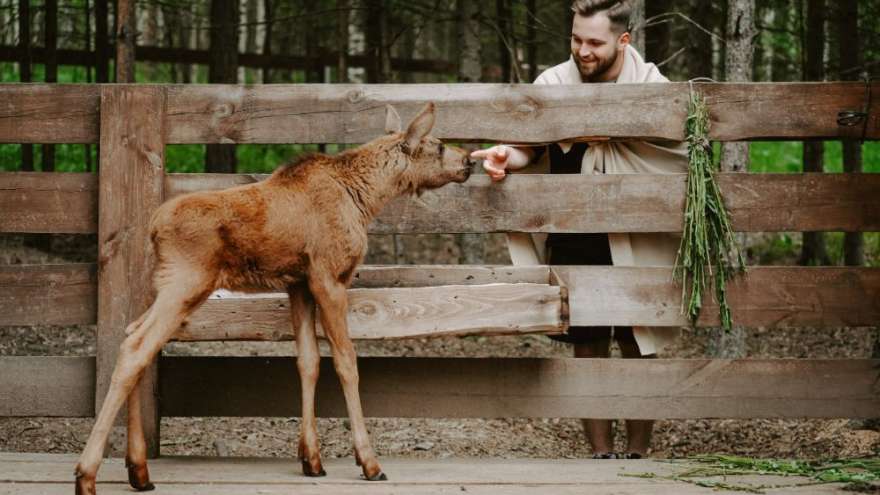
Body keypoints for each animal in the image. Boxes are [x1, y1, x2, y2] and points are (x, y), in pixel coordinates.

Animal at [75, 102, 474, 494]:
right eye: (439, 146)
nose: (469, 161)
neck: (366, 198)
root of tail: (153, 229)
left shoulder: (299, 283)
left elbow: (308, 361)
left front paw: (311, 459)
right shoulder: (329, 277)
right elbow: (346, 361)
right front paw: (368, 462)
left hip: (165, 285)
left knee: (133, 335)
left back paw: (138, 470)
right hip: (186, 283)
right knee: (136, 347)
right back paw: (87, 474)